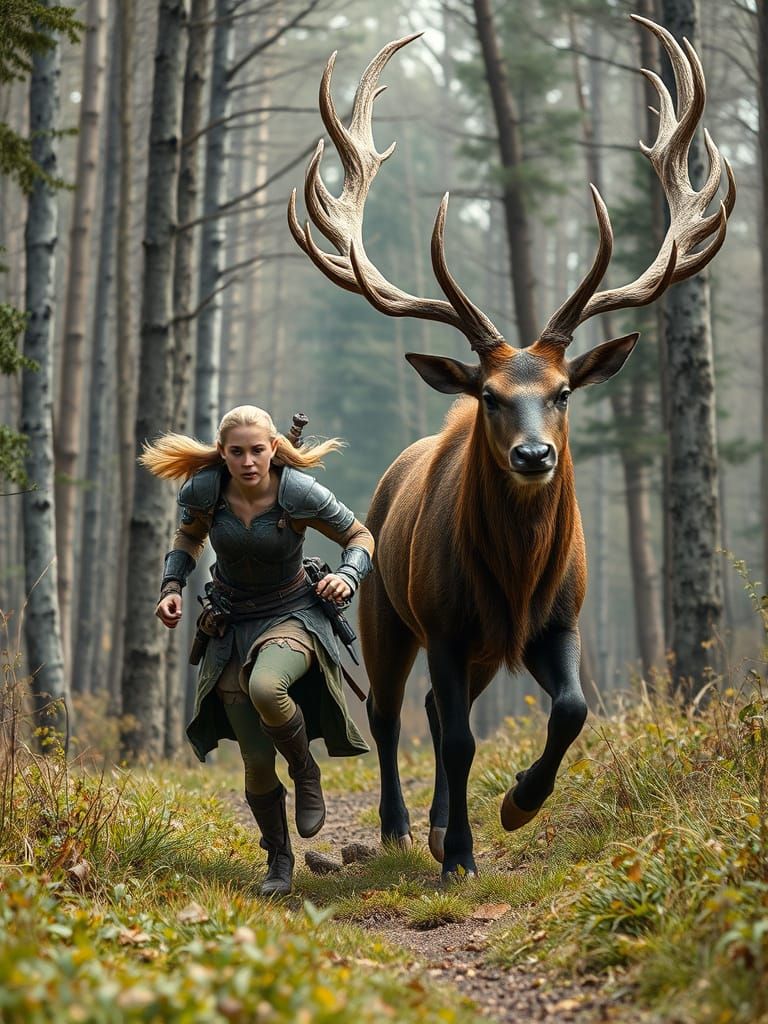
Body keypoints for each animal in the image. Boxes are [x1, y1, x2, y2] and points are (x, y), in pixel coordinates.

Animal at [288, 16, 735, 878]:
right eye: (490, 396)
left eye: (563, 391)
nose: (534, 457)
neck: (517, 578)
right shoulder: (447, 623)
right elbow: (459, 740)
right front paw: (462, 852)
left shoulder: (559, 619)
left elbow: (572, 708)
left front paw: (517, 805)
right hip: (387, 611)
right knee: (393, 714)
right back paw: (403, 827)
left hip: (480, 649)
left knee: (434, 710)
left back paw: (435, 823)